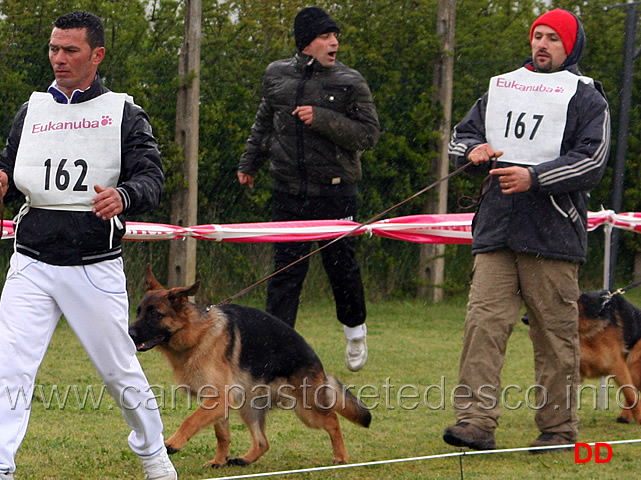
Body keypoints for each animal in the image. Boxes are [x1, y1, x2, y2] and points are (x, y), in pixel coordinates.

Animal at [129, 264, 370, 466]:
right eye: (138, 311)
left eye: (155, 314)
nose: (129, 333)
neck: (196, 334)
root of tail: (317, 362)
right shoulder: (218, 401)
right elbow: (222, 434)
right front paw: (219, 461)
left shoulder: (219, 398)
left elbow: (190, 420)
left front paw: (173, 443)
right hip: (249, 407)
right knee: (263, 442)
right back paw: (245, 459)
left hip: (306, 410)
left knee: (332, 420)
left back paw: (340, 456)